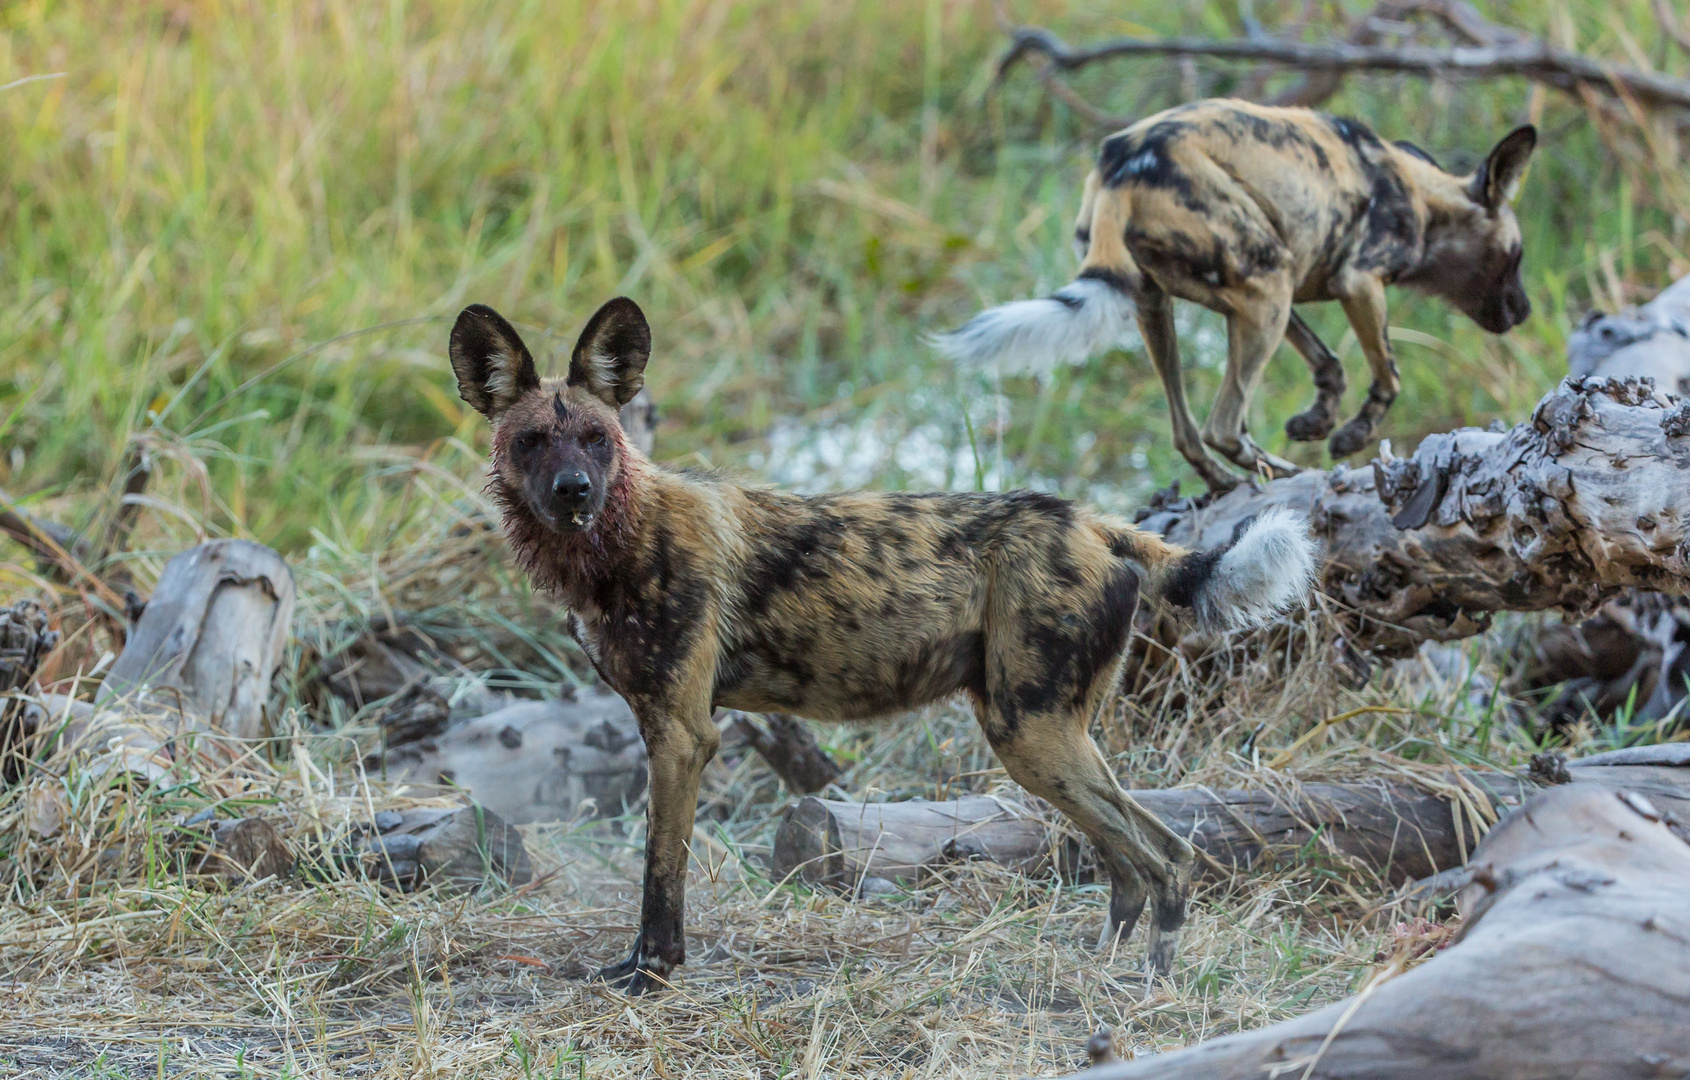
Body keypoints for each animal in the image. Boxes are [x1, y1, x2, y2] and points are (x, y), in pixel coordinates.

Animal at [449, 297, 1318, 1000]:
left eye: (598, 439)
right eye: (533, 441)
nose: (574, 492)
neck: (618, 543)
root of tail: (1096, 523)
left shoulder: (683, 735)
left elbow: (660, 876)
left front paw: (651, 975)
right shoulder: (663, 725)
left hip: (1032, 737)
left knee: (1165, 857)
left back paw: (1150, 987)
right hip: (1045, 739)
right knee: (1137, 860)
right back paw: (1101, 969)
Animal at [932, 101, 1541, 490]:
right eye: (1517, 256)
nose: (1525, 311)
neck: (1418, 193)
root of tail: (1121, 168)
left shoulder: (1285, 285)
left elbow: (1330, 363)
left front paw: (1314, 423)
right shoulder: (1357, 282)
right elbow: (1388, 375)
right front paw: (1348, 437)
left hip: (1179, 303)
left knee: (1187, 430)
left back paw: (1228, 481)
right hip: (1265, 292)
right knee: (1221, 424)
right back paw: (1287, 472)